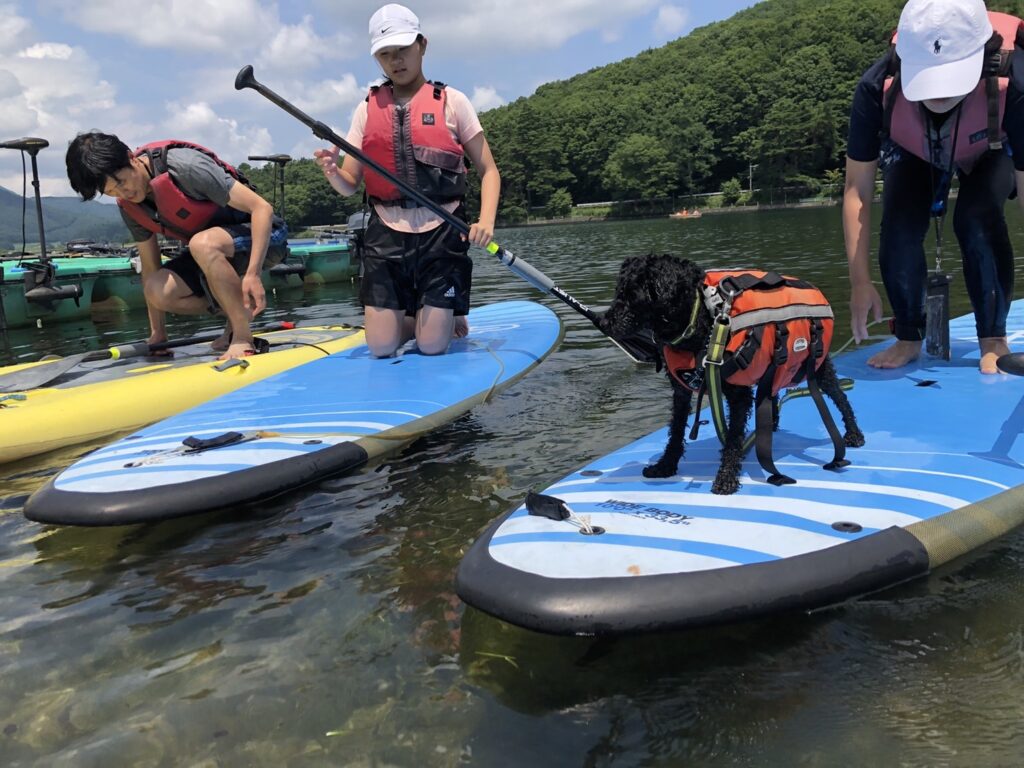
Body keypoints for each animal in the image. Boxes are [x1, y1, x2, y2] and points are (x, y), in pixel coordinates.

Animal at [598, 252, 864, 493]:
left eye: (632, 296)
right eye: (618, 291)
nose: (603, 322)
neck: (701, 325)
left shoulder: (738, 397)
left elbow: (733, 440)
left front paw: (726, 478)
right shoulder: (681, 392)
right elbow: (675, 432)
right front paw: (665, 466)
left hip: (818, 368)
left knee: (841, 398)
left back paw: (853, 434)